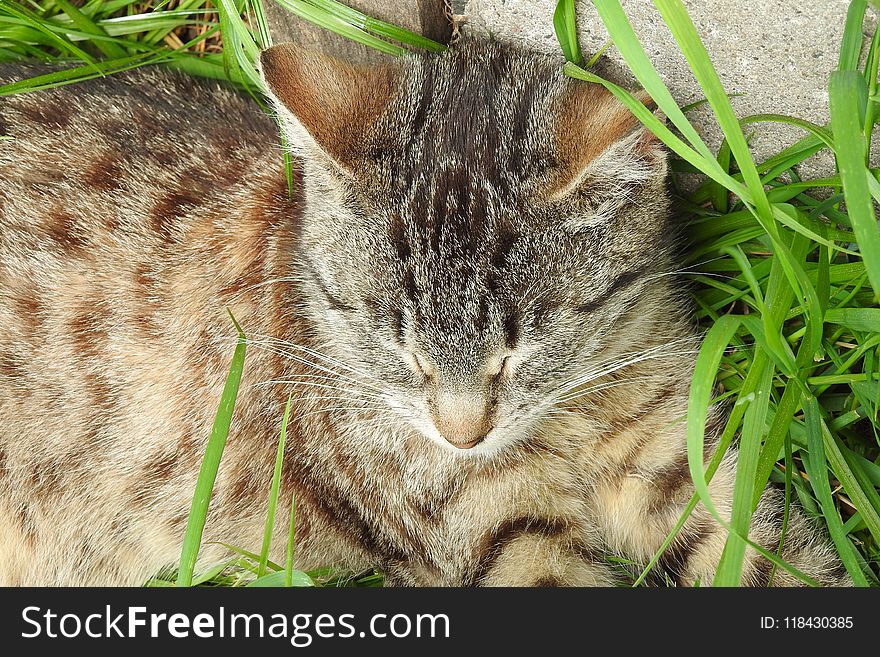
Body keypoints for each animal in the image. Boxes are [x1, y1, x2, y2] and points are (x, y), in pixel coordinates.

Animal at [0, 37, 852, 584]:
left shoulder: (677, 458)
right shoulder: (496, 537)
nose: (461, 435)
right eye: (400, 348)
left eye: (519, 348)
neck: (570, 418)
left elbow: (779, 560)